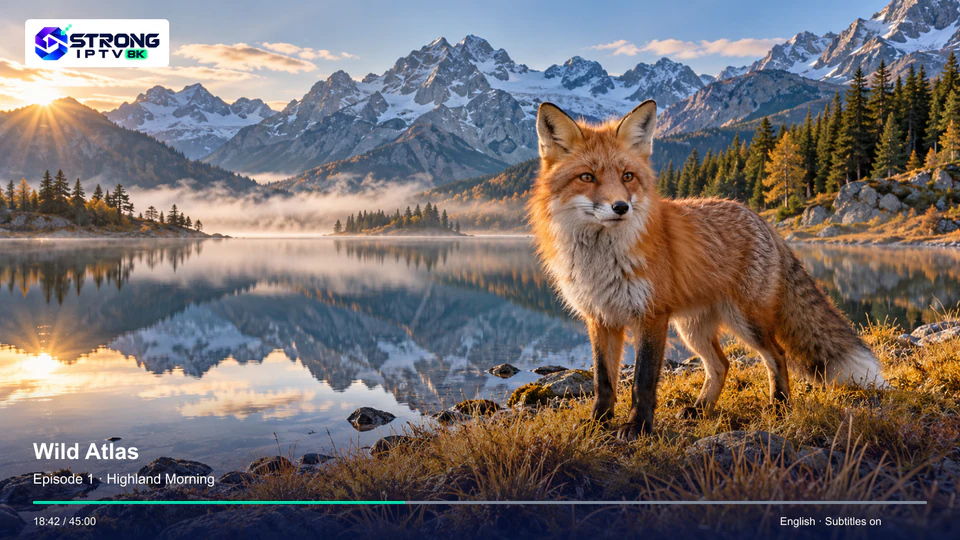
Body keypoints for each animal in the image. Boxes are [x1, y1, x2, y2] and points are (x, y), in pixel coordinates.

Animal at [529, 100, 885, 440]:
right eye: (587, 177)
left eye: (627, 176)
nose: (621, 207)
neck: (602, 261)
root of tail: (762, 220)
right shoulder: (600, 319)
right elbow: (604, 382)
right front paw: (598, 422)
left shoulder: (651, 316)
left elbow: (643, 381)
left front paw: (638, 426)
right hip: (693, 329)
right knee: (722, 365)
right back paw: (701, 409)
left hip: (746, 322)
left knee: (777, 355)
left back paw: (780, 405)